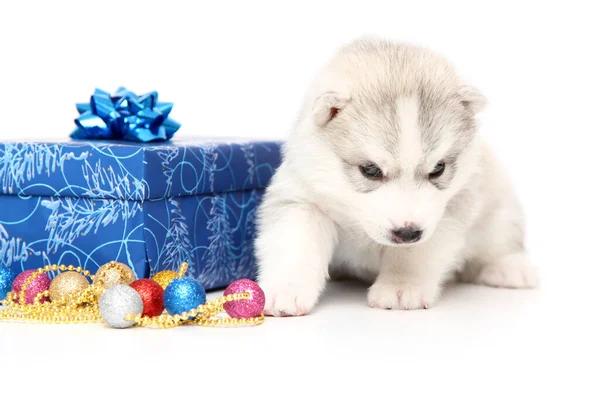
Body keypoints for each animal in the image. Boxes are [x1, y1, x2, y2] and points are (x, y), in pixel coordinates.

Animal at [255, 39, 536, 318]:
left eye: (438, 168)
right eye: (370, 170)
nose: (407, 232)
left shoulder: (451, 208)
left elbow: (414, 253)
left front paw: (402, 286)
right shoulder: (302, 199)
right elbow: (296, 245)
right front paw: (286, 290)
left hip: (499, 212)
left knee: (501, 243)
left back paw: (510, 268)